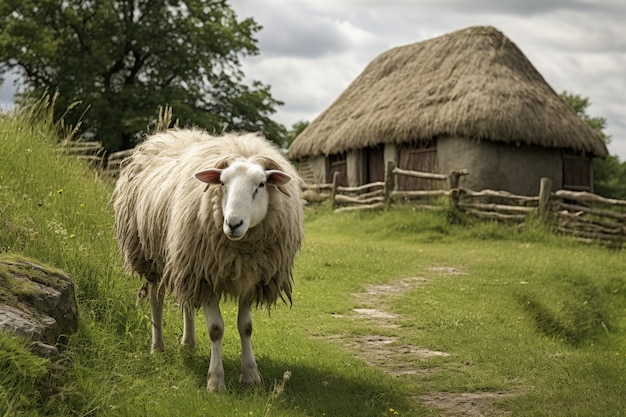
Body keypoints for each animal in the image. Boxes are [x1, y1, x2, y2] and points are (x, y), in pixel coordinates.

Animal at [115, 127, 308, 390]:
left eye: (261, 184)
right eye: (222, 183)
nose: (233, 223)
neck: (240, 249)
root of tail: (164, 136)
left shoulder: (248, 277)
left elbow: (246, 328)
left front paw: (251, 375)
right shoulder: (205, 275)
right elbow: (216, 329)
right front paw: (216, 381)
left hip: (183, 259)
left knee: (186, 301)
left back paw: (188, 343)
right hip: (151, 257)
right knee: (156, 299)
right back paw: (158, 347)